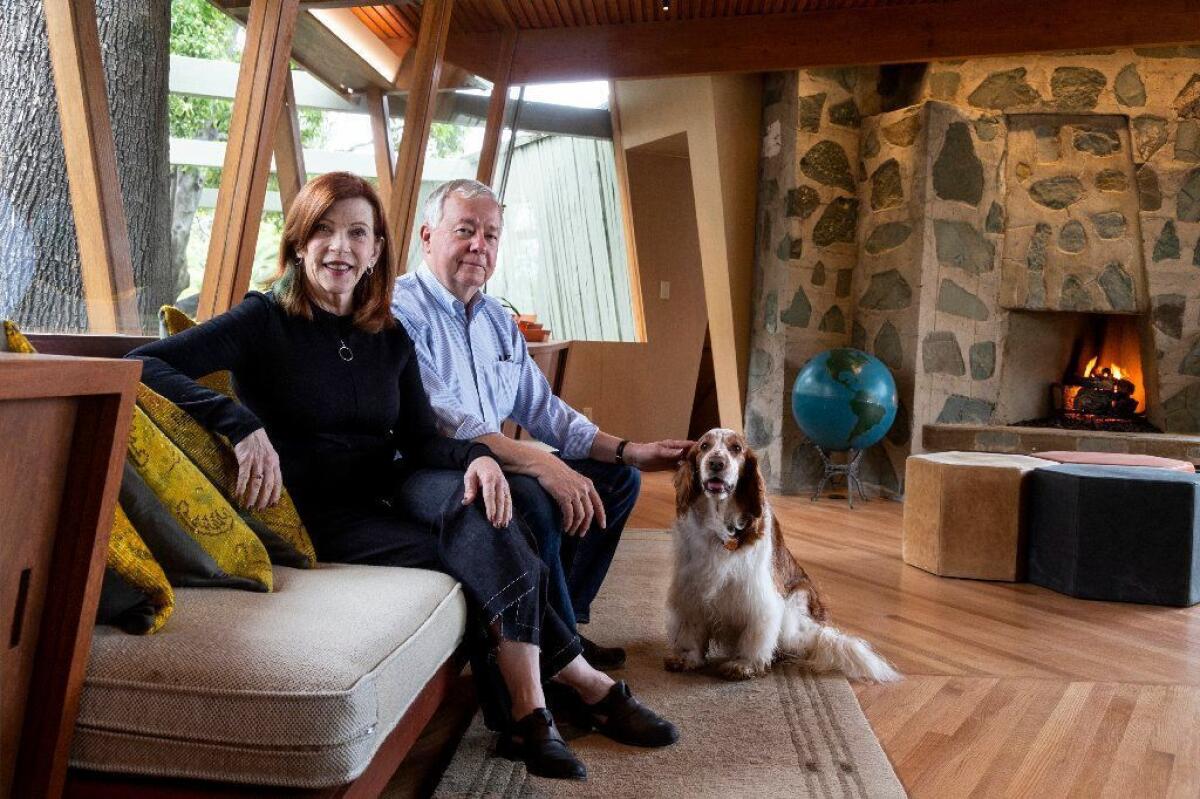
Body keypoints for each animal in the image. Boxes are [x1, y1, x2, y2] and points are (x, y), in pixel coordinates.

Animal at [667, 427, 902, 681]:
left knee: (801, 642)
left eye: (736, 448)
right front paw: (688, 657)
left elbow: (756, 631)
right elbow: (691, 629)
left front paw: (744, 663)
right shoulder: (691, 588)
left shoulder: (760, 595)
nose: (716, 463)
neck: (721, 525)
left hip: (795, 607)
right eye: (704, 446)